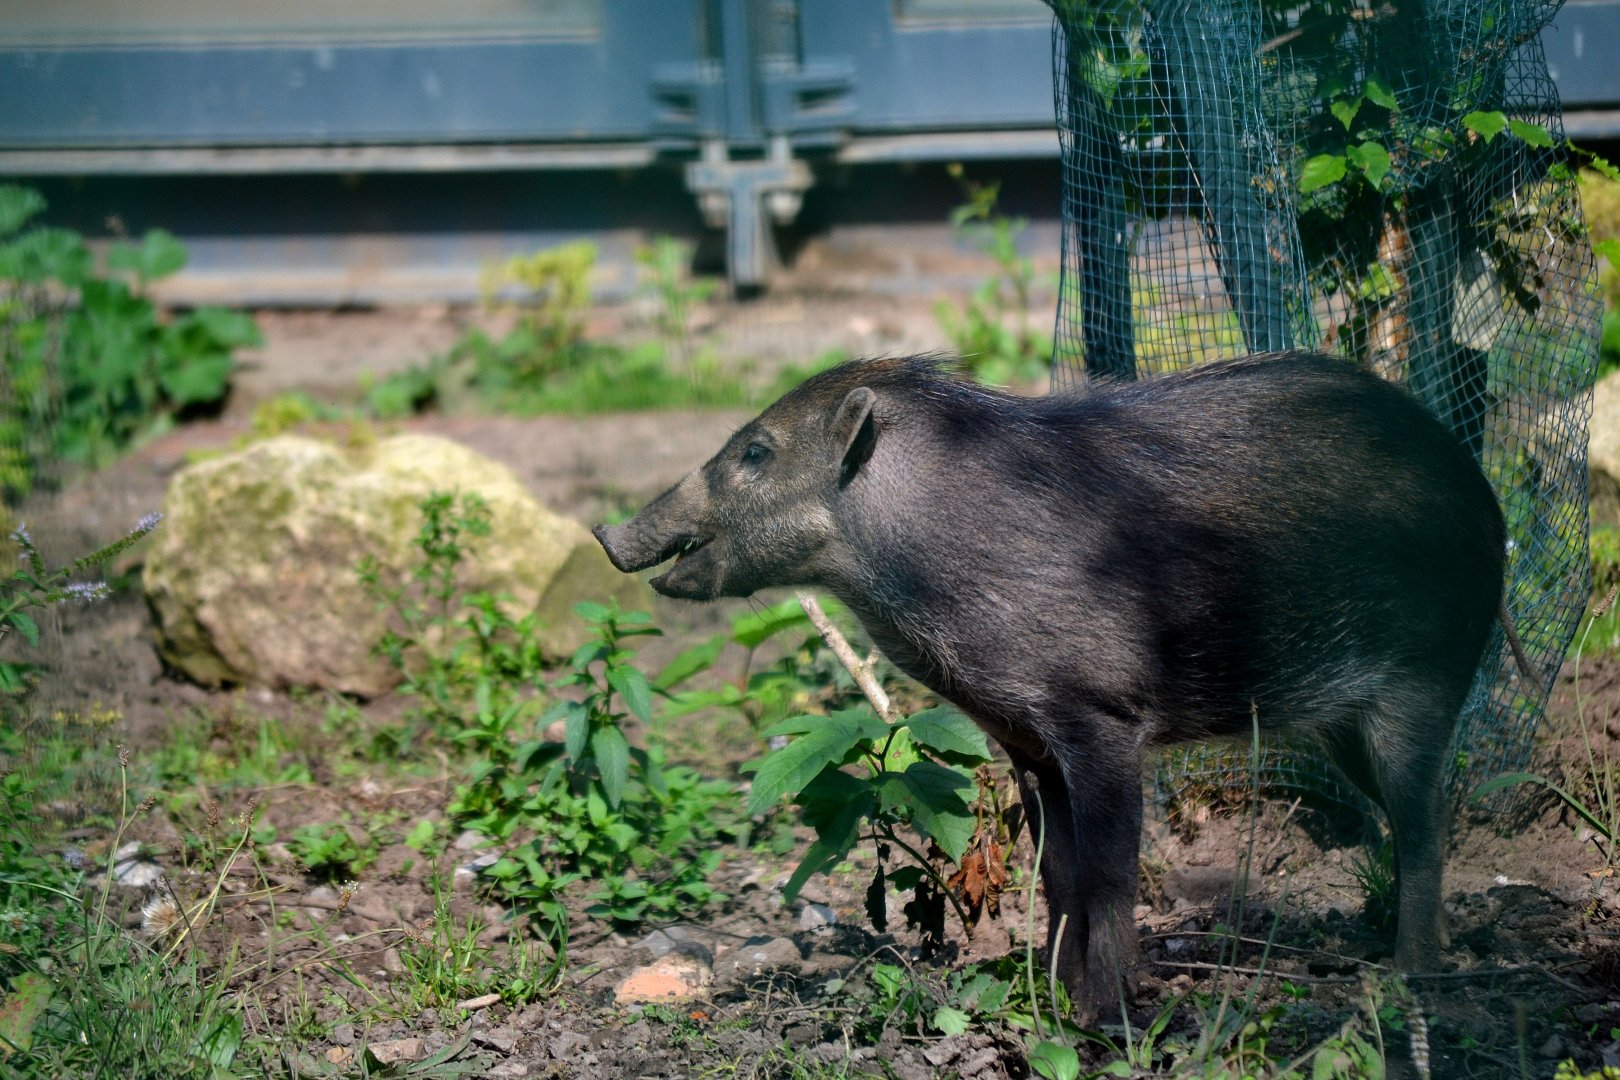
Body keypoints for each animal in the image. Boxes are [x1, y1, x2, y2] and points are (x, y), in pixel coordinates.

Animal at [592, 352, 1503, 1018]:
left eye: (756, 452)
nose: (603, 531)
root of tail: (1484, 496)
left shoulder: (1104, 721)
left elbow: (1107, 873)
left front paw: (1105, 1017)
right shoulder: (1025, 740)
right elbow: (1057, 872)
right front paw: (1053, 1007)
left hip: (1422, 683)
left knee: (1426, 823)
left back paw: (1409, 976)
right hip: (1344, 726)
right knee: (1408, 820)